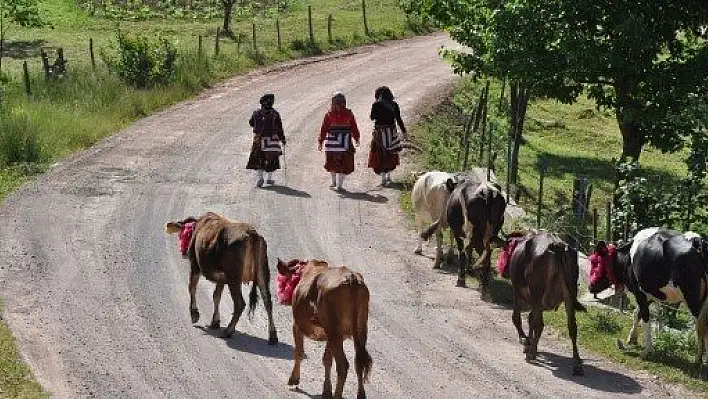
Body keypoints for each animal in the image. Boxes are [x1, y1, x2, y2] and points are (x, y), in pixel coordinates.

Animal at [165, 212, 276, 344]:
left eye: (182, 234)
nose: (183, 252)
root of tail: (252, 233)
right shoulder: (222, 278)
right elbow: (216, 296)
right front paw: (215, 321)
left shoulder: (195, 266)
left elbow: (192, 288)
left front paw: (194, 314)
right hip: (262, 274)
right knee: (267, 301)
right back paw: (273, 336)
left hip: (234, 278)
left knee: (240, 304)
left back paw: (228, 331)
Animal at [276, 260, 370, 399]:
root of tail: (351, 277)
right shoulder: (329, 336)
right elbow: (327, 359)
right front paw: (326, 391)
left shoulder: (297, 326)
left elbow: (299, 352)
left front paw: (294, 379)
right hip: (358, 329)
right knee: (359, 362)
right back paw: (360, 395)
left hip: (335, 332)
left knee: (343, 365)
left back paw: (337, 396)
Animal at [506, 230, 584, 376]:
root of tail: (557, 245)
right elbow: (532, 320)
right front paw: (531, 345)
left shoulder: (518, 293)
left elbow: (518, 318)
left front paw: (527, 342)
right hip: (570, 295)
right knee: (572, 327)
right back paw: (577, 365)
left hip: (536, 293)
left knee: (537, 322)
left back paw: (530, 354)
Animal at [588, 228, 708, 368]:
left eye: (597, 262)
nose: (590, 286)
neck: (628, 258)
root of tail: (697, 241)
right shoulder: (649, 293)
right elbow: (637, 313)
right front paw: (632, 338)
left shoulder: (639, 292)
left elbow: (645, 318)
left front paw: (647, 351)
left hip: (693, 299)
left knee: (701, 326)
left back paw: (698, 360)